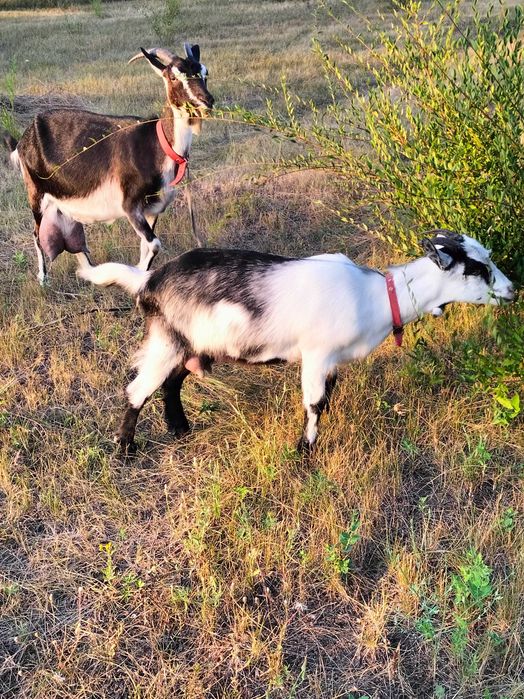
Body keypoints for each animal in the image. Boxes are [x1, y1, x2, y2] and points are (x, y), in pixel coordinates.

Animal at [7, 44, 214, 284]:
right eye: (173, 76)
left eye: (205, 72)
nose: (206, 101)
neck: (157, 143)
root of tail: (24, 138)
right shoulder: (130, 204)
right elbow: (154, 245)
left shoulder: (153, 210)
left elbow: (146, 247)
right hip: (35, 192)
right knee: (36, 233)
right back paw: (43, 278)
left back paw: (89, 270)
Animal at [77, 230, 515, 453]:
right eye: (476, 269)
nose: (512, 290)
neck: (375, 294)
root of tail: (149, 280)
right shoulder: (316, 355)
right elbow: (315, 403)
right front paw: (305, 451)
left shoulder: (332, 361)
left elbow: (329, 397)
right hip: (167, 341)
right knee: (138, 389)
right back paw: (125, 447)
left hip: (192, 345)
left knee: (171, 384)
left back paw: (179, 429)